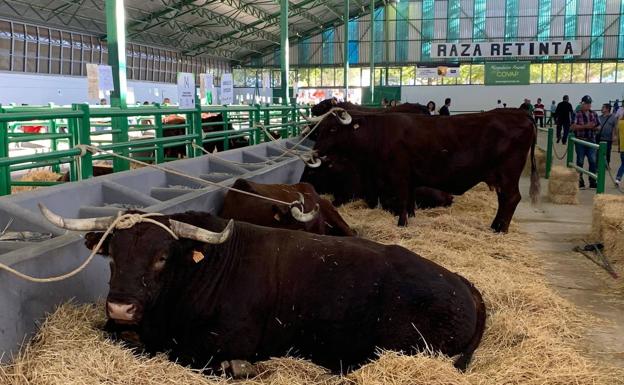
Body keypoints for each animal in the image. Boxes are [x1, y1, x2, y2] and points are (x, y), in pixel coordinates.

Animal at [40, 206, 488, 374]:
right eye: (111, 254)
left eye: (163, 257)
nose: (121, 306)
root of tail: (461, 283)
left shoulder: (228, 340)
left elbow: (181, 355)